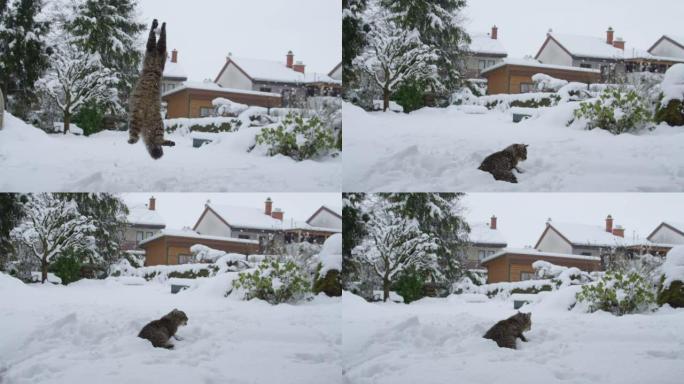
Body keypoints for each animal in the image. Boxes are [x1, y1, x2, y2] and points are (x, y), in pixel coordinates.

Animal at [128, 20, 175, 158]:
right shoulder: (153, 51)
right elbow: (156, 40)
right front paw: (157, 26)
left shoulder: (155, 51)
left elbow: (156, 39)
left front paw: (158, 26)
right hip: (138, 115)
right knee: (136, 133)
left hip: (157, 122)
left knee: (155, 138)